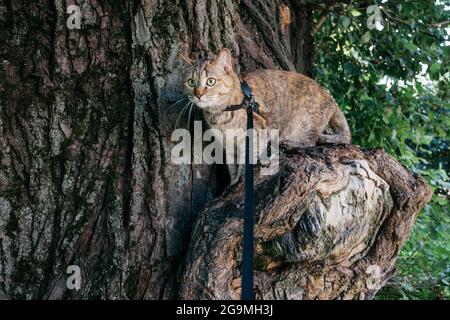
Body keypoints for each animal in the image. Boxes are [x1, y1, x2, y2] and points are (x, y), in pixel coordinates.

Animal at [181, 49, 350, 185]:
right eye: (191, 82)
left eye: (211, 81)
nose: (198, 94)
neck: (219, 114)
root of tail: (329, 97)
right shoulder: (227, 143)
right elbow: (232, 165)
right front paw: (233, 182)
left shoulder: (256, 133)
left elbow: (246, 160)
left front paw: (240, 180)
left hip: (301, 122)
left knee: (311, 140)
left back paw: (288, 142)